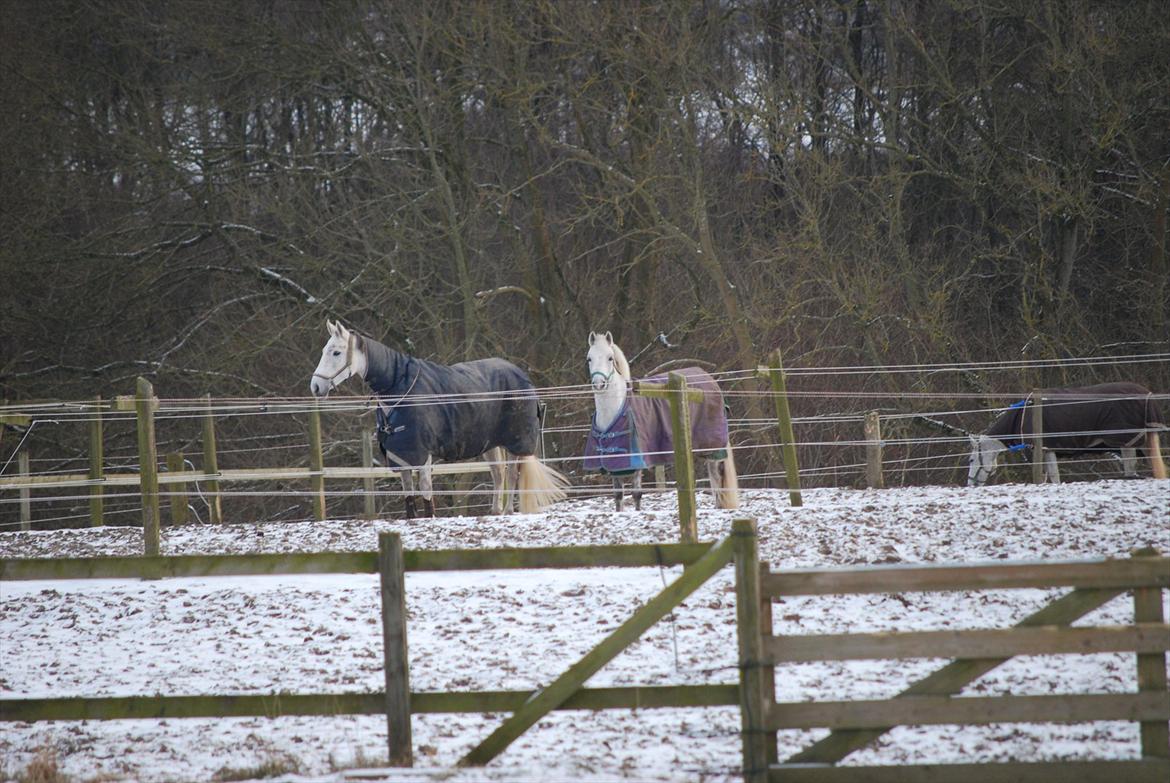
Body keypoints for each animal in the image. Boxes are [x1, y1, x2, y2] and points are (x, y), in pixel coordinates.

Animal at [308, 320, 568, 514]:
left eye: (336, 352)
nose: (316, 387)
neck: (400, 388)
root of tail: (522, 376)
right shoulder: (401, 456)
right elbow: (409, 499)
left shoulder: (422, 455)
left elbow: (426, 496)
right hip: (491, 444)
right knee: (499, 474)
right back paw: (496, 511)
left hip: (515, 442)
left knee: (513, 475)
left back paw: (506, 512)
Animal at [585, 332, 739, 510]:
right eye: (589, 359)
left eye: (610, 358)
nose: (599, 384)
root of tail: (710, 380)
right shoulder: (615, 465)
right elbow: (618, 496)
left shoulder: (638, 462)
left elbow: (637, 494)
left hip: (712, 449)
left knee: (717, 480)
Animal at [968, 381, 1170, 484]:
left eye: (970, 460)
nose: (971, 483)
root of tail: (1147, 395)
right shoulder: (1049, 450)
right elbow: (1054, 477)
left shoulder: (1041, 451)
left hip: (1125, 442)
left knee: (1130, 468)